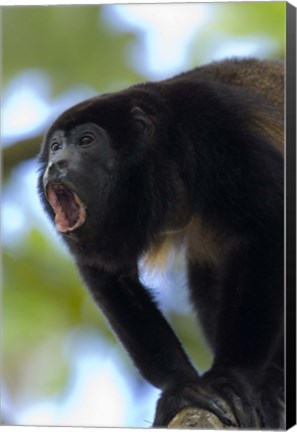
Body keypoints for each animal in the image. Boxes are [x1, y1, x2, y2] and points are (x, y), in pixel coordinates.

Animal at [38, 58, 284, 428]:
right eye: (55, 147)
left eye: (86, 141)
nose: (56, 165)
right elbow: (109, 274)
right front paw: (181, 388)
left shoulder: (218, 128)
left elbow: (269, 226)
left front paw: (233, 377)